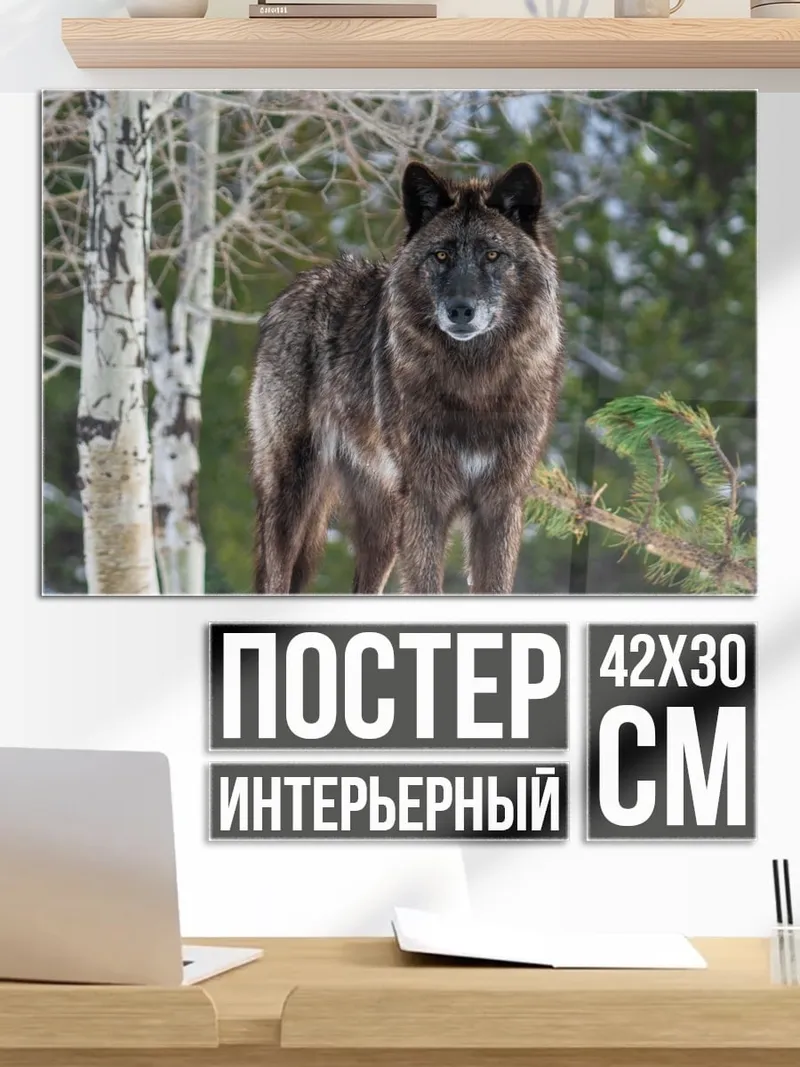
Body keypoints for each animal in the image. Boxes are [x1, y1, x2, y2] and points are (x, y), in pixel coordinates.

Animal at [248, 160, 565, 595]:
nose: (460, 310)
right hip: (292, 493)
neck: (475, 386)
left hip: (383, 524)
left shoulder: (499, 503)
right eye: (441, 255)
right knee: (274, 579)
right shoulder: (426, 500)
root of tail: (298, 286)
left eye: (492, 255)